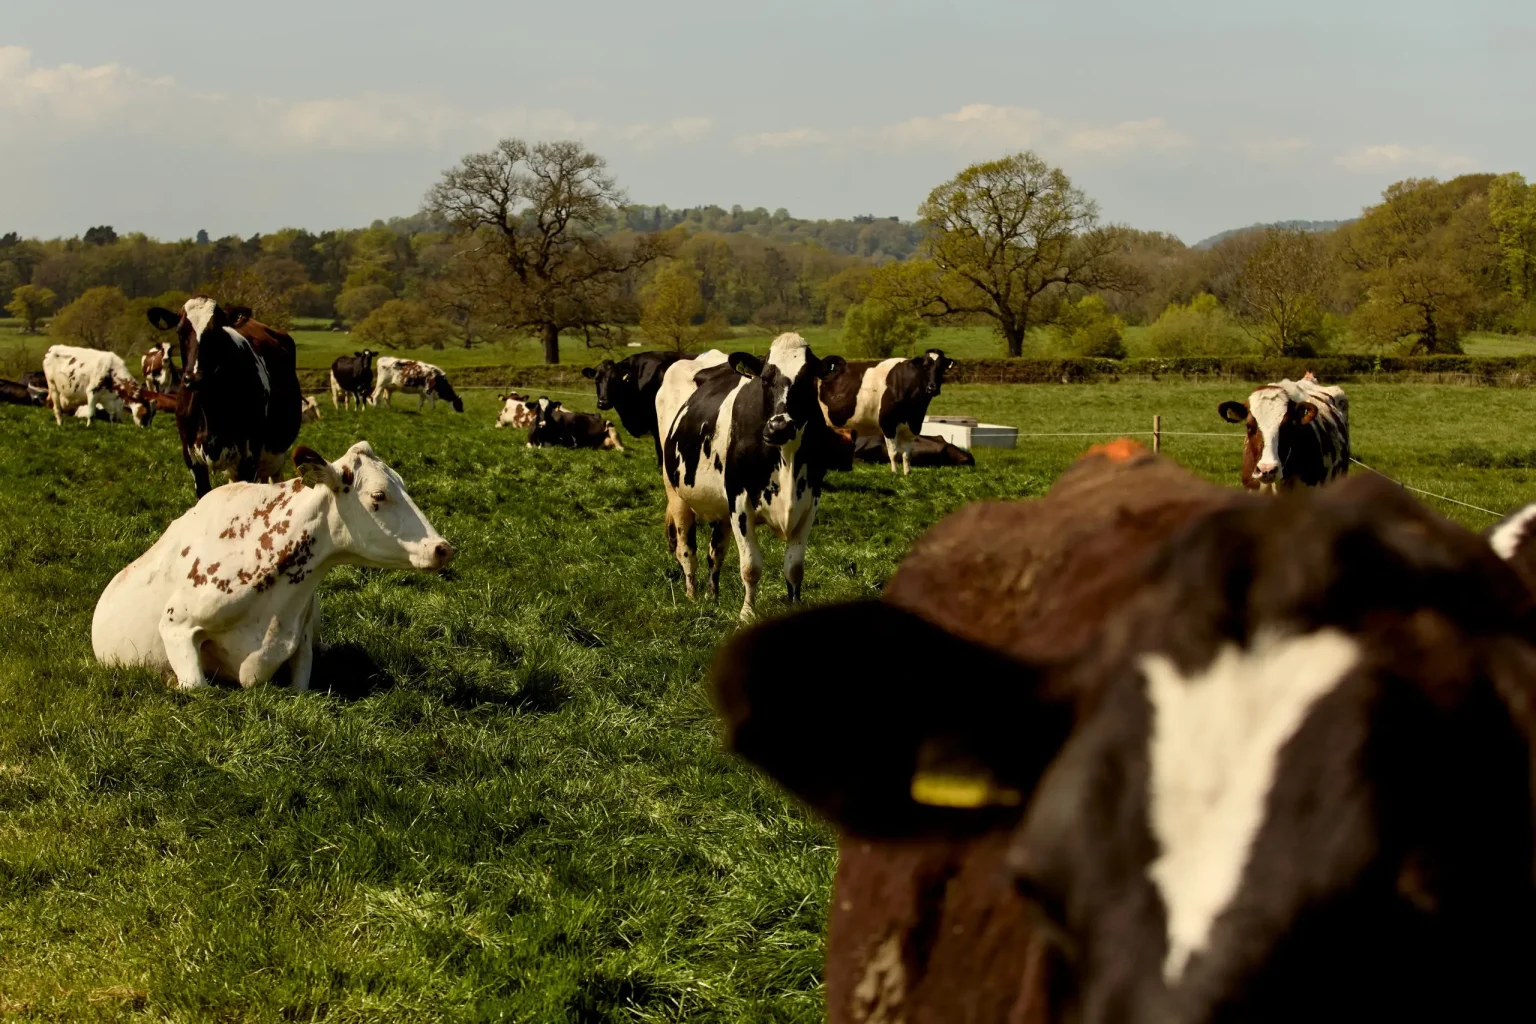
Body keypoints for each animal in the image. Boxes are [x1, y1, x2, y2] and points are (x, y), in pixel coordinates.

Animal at [146, 297, 303, 499]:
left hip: (275, 453)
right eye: (180, 332)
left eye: (216, 332)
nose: (194, 378)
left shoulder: (249, 457)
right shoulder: (191, 457)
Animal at [656, 334, 848, 620]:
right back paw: (692, 596)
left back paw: (712, 596)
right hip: (676, 492)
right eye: (765, 379)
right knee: (686, 550)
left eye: (807, 379)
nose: (779, 426)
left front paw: (794, 605)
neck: (787, 460)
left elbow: (794, 567)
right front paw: (747, 613)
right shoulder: (740, 501)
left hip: (721, 506)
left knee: (715, 552)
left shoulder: (810, 501)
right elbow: (751, 566)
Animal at [819, 349, 957, 475]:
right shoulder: (888, 423)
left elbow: (907, 454)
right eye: (925, 367)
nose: (932, 388)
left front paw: (907, 473)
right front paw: (894, 473)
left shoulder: (912, 426)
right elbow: (894, 452)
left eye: (942, 367)